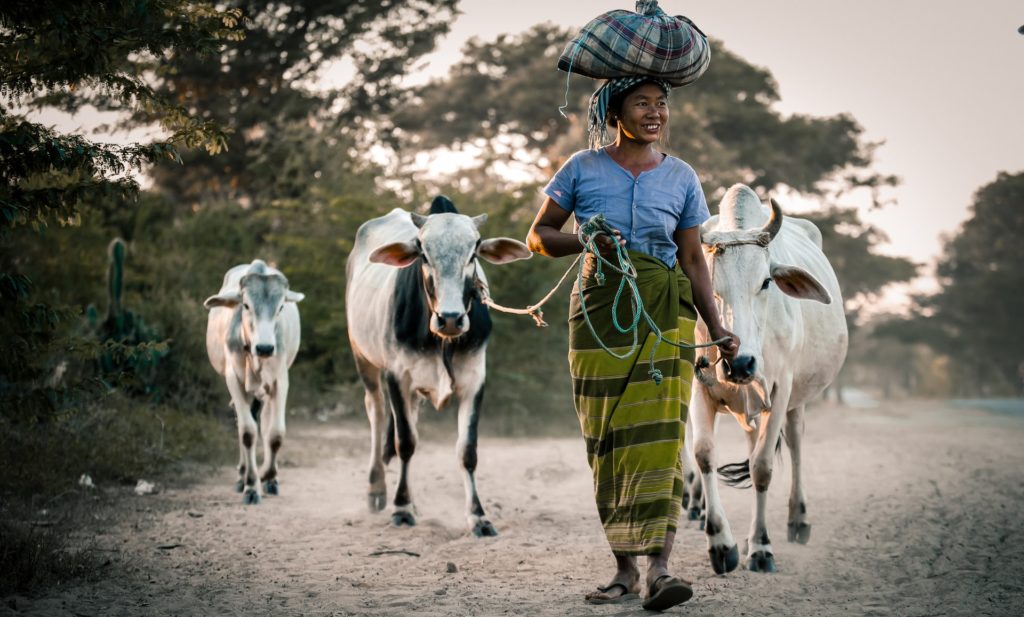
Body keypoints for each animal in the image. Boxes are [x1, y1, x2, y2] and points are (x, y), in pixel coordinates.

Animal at [203, 257, 303, 505]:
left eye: (281, 307)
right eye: (246, 305)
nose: (265, 348)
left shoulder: (280, 380)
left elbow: (275, 433)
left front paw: (268, 476)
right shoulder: (234, 379)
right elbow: (247, 432)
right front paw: (250, 485)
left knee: (264, 423)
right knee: (245, 421)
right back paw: (241, 476)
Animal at [348, 196, 532, 536]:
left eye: (473, 253)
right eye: (423, 253)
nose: (450, 318)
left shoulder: (474, 380)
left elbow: (467, 451)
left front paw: (478, 516)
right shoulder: (397, 376)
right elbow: (405, 443)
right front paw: (401, 509)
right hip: (363, 358)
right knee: (377, 414)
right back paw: (378, 491)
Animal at [688, 183, 847, 573]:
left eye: (766, 282)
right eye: (709, 287)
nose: (740, 364)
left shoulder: (781, 388)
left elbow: (762, 468)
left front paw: (761, 547)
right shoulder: (699, 386)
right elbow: (703, 454)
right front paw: (722, 544)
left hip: (796, 399)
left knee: (795, 443)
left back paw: (798, 520)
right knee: (751, 442)